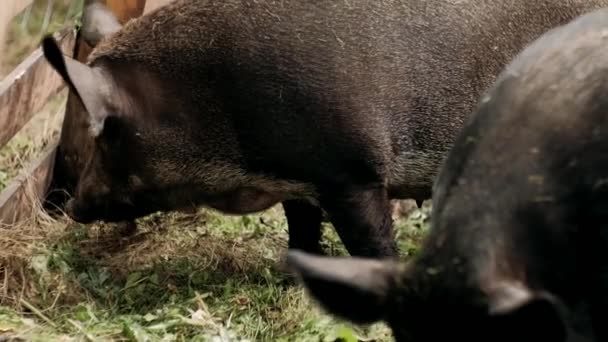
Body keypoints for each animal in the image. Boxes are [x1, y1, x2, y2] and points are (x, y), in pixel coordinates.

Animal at [41, 0, 608, 256]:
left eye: (106, 134)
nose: (69, 206)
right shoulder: (299, 181)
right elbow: (301, 231)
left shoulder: (352, 169)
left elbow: (371, 240)